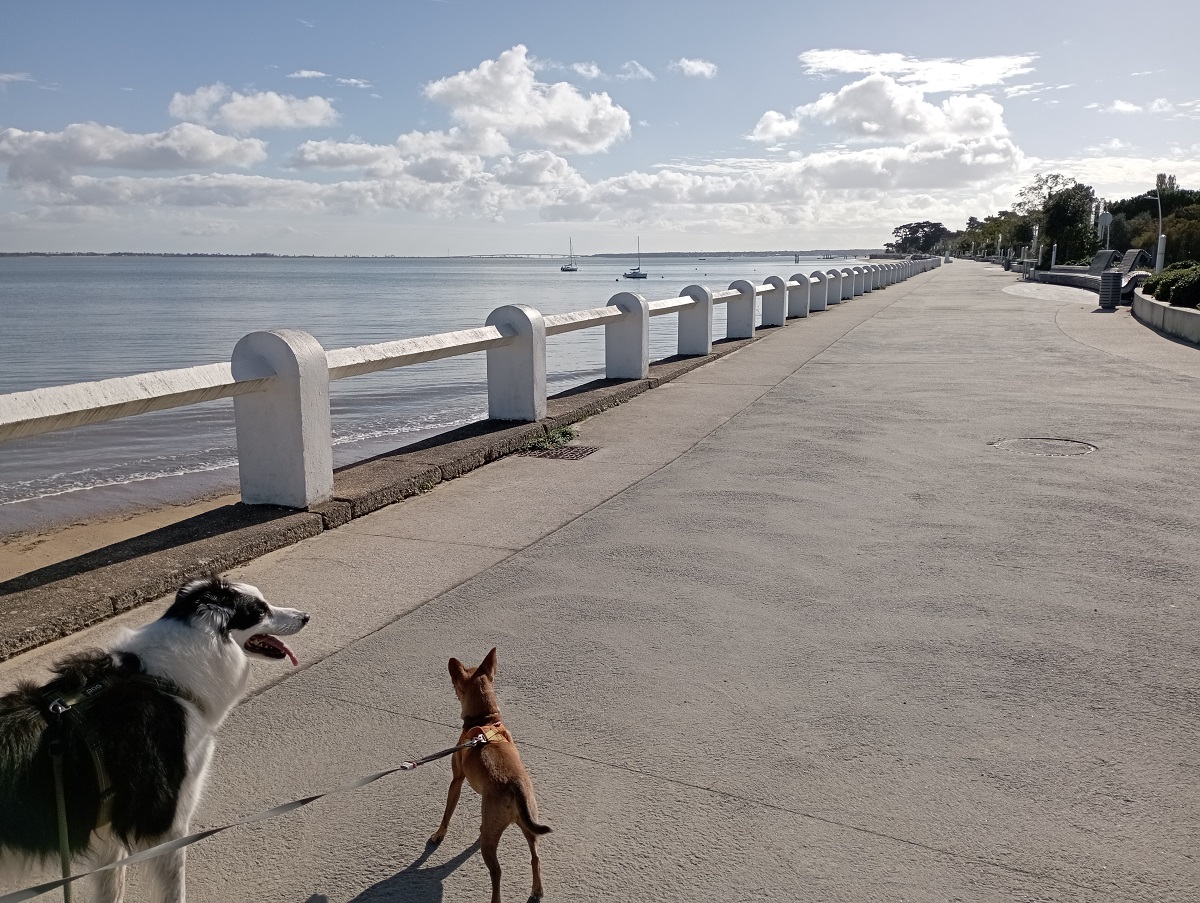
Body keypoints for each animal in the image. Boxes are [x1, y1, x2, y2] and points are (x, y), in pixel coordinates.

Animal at [2, 573, 309, 898]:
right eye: (260, 610)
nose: (306, 617)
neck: (166, 681)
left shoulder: (108, 830)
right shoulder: (167, 821)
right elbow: (174, 890)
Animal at [427, 648, 549, 903]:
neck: (485, 721)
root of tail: (515, 786)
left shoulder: (457, 781)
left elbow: (447, 812)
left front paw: (438, 834)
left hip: (493, 842)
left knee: (497, 872)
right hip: (529, 825)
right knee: (535, 857)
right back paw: (537, 890)